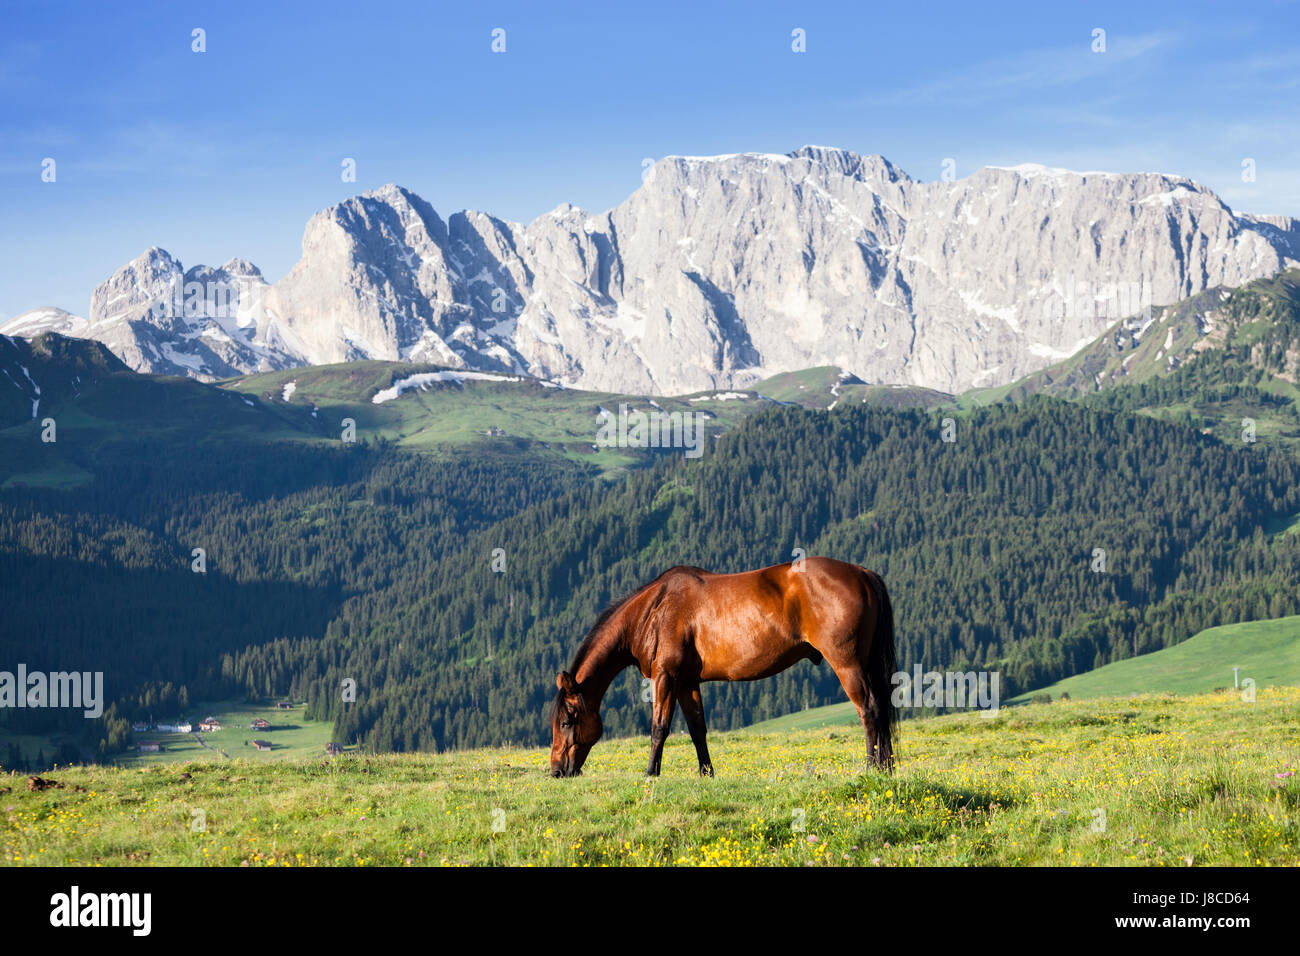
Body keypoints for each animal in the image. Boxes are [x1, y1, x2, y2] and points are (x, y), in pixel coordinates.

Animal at [549, 556, 896, 778]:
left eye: (566, 722)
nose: (556, 771)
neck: (655, 610)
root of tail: (861, 573)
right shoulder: (687, 682)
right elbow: (697, 729)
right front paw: (707, 772)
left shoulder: (665, 676)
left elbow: (659, 727)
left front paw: (650, 773)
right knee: (881, 708)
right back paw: (887, 767)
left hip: (847, 664)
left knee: (868, 710)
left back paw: (871, 767)